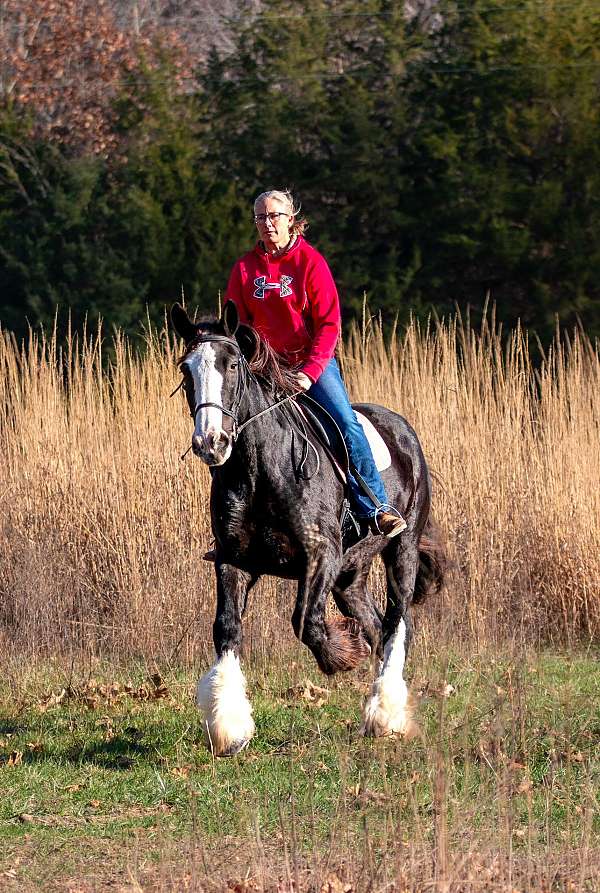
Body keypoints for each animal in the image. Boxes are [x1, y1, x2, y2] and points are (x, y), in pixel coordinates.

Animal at [171, 300, 442, 752]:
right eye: (186, 369)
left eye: (231, 364)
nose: (211, 442)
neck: (260, 467)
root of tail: (402, 428)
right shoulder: (233, 560)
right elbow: (226, 627)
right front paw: (229, 725)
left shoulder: (321, 554)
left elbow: (306, 621)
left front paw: (342, 654)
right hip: (350, 574)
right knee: (376, 624)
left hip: (401, 550)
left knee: (397, 624)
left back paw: (387, 712)